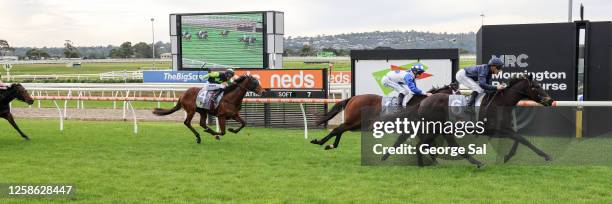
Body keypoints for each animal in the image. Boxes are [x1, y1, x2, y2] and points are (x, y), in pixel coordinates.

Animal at [310, 82, 460, 150]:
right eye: (457, 94)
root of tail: (352, 98)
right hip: (354, 122)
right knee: (337, 129)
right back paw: (320, 142)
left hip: (357, 124)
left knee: (340, 130)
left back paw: (330, 145)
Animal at [412, 75, 556, 167]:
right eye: (536, 87)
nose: (550, 101)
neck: (501, 102)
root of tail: (423, 102)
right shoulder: (497, 129)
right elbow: (522, 139)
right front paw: (546, 155)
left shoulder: (504, 129)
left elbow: (519, 138)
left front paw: (508, 156)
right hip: (434, 127)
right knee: (421, 145)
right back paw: (421, 165)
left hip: (441, 128)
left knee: (444, 145)